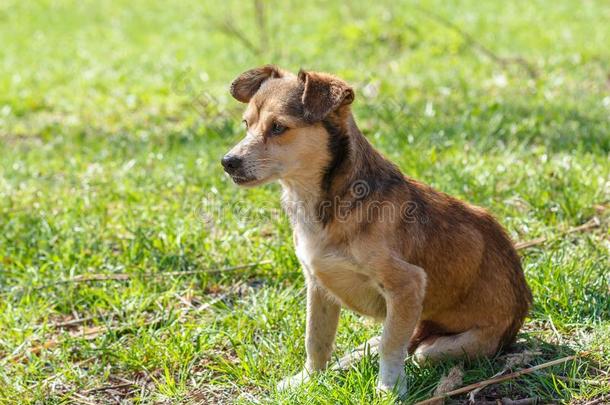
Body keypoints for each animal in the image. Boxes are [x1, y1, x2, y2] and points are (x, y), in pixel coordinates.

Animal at [221, 65, 528, 394]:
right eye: (246, 124)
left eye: (278, 127)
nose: (227, 162)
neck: (318, 202)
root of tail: (522, 304)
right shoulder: (318, 285)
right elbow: (316, 339)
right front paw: (308, 380)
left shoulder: (407, 284)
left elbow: (390, 345)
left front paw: (389, 389)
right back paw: (353, 357)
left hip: (448, 344)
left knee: (415, 350)